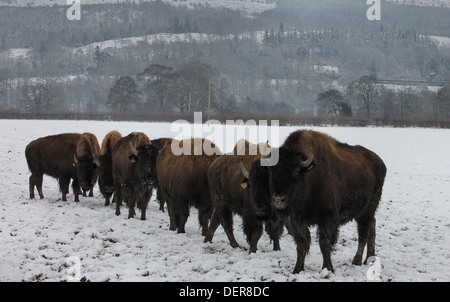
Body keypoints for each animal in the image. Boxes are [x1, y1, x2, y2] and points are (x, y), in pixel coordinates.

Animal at [246, 130, 386, 274]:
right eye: (271, 172)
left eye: (296, 171)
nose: (279, 199)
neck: (309, 178)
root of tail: (380, 162)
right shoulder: (298, 220)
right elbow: (302, 243)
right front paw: (297, 269)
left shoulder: (327, 219)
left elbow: (324, 243)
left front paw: (328, 268)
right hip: (365, 211)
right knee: (372, 225)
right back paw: (369, 258)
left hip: (368, 209)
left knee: (363, 233)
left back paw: (357, 260)